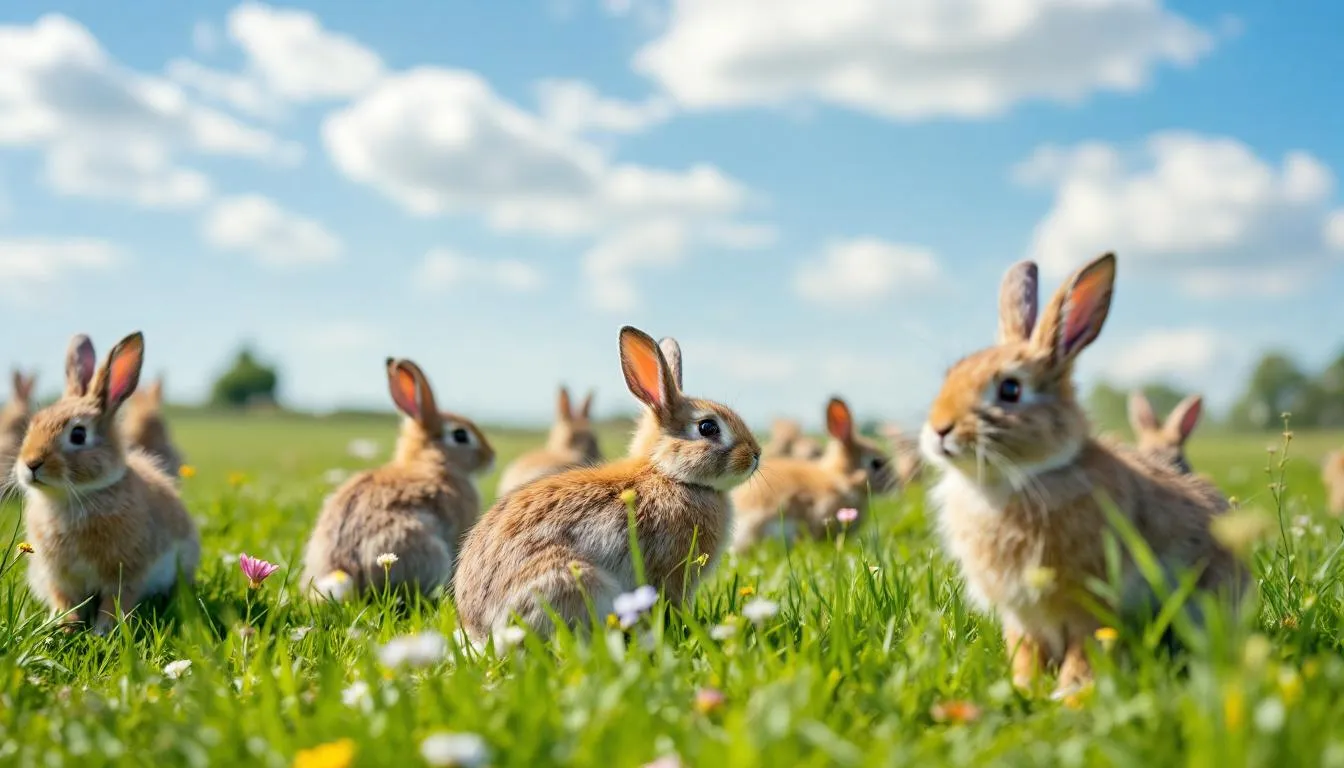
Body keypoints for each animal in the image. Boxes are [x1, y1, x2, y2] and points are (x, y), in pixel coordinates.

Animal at [15, 332, 200, 634]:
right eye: (33, 424)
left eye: (78, 435)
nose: (31, 464)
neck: (76, 496)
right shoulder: (59, 578)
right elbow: (64, 601)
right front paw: (64, 627)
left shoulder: (126, 573)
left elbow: (115, 602)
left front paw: (103, 631)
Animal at [919, 254, 1247, 696]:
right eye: (950, 376)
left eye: (1010, 390)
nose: (940, 429)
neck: (1021, 478)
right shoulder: (1021, 618)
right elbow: (1025, 652)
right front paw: (1025, 688)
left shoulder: (1091, 608)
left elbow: (1084, 650)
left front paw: (1070, 693)